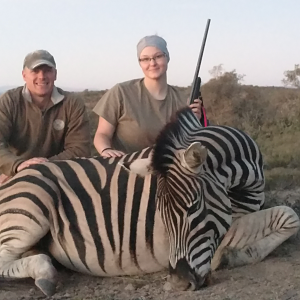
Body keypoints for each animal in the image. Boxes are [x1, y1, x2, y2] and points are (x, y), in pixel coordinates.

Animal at [0, 107, 298, 296]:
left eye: (194, 208)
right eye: (161, 215)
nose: (178, 284)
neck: (246, 185)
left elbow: (288, 218)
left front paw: (239, 255)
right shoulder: (228, 228)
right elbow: (289, 216)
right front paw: (231, 256)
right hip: (32, 204)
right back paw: (44, 274)